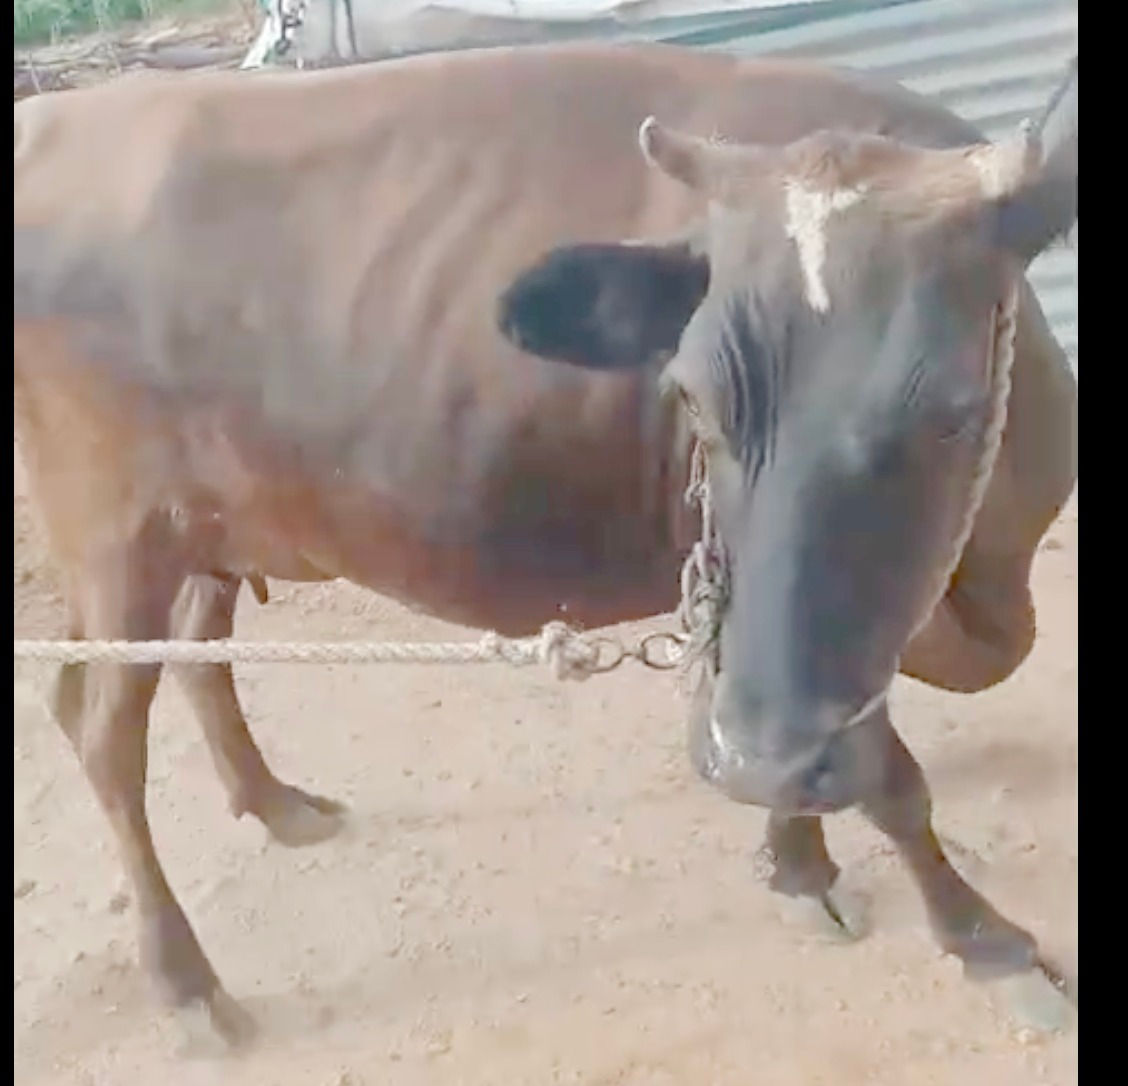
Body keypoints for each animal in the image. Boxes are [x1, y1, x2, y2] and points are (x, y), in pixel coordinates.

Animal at [14, 42, 1076, 1046]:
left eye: (951, 412)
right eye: (693, 399)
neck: (985, 578)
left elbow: (818, 754)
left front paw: (794, 858)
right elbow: (892, 783)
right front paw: (987, 943)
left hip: (207, 528)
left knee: (190, 658)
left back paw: (276, 804)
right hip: (115, 542)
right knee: (102, 733)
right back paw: (188, 985)